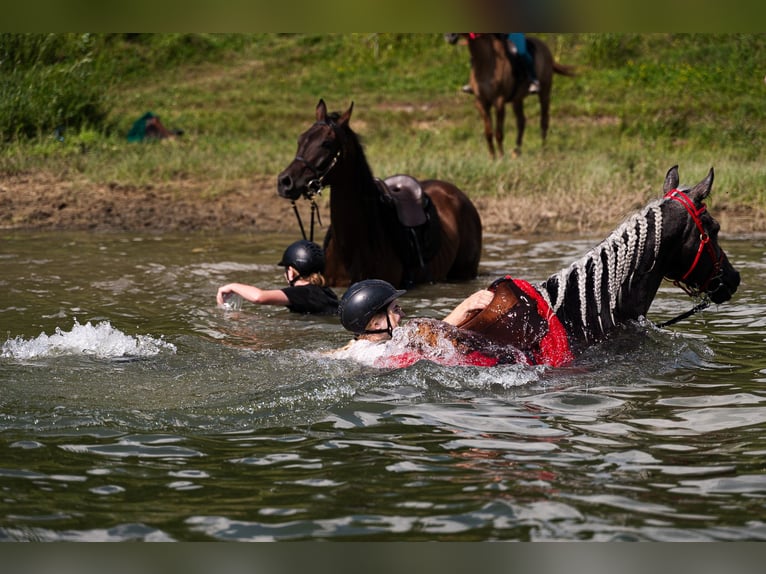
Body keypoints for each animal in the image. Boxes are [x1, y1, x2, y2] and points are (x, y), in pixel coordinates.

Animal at [444, 33, 576, 160]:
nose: (449, 37)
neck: (487, 60)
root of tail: (544, 46)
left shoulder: (499, 102)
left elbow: (499, 133)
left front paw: (501, 157)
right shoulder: (481, 103)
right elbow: (488, 133)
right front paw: (492, 158)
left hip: (545, 92)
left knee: (544, 121)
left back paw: (543, 150)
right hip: (517, 99)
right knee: (521, 122)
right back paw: (517, 152)